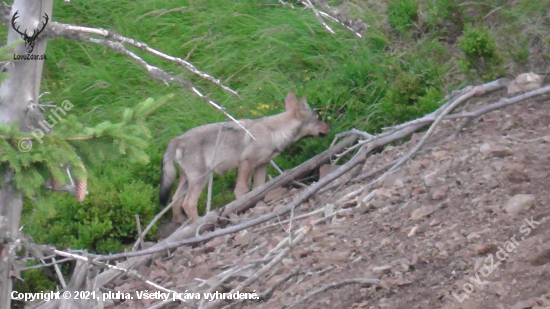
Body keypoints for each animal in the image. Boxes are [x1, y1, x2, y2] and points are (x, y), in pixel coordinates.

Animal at [160, 91, 332, 221]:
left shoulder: (261, 165)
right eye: (318, 118)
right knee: (188, 204)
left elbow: (258, 189)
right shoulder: (246, 163)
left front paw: (259, 207)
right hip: (201, 179)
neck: (273, 132)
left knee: (175, 200)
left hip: (186, 181)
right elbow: (242, 191)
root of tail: (178, 139)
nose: (329, 128)